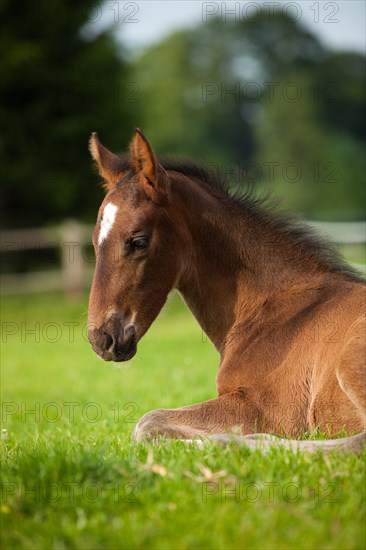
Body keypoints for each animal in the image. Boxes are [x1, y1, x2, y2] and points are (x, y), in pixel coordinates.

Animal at [87, 132, 364, 454]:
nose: (101, 339)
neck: (272, 309)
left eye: (138, 241)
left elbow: (148, 421)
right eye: (95, 241)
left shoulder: (268, 410)